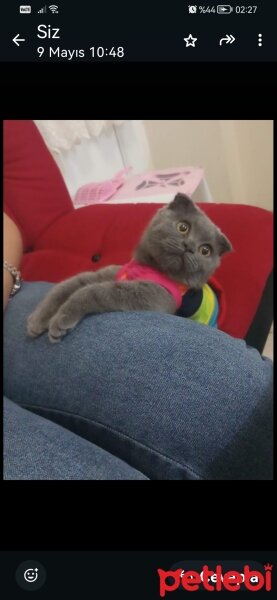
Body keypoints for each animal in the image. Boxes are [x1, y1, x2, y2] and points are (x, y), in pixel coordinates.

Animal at [27, 193, 231, 342]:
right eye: (183, 227)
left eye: (205, 250)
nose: (190, 247)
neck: (149, 266)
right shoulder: (109, 274)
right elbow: (65, 287)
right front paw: (37, 320)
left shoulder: (153, 296)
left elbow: (92, 292)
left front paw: (61, 319)